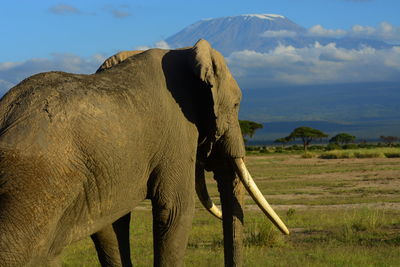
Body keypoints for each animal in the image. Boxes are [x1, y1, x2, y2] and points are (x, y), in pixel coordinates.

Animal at [0, 39, 288, 267]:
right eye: (237, 105)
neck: (182, 54)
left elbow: (111, 225)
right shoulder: (177, 133)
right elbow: (176, 210)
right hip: (35, 184)